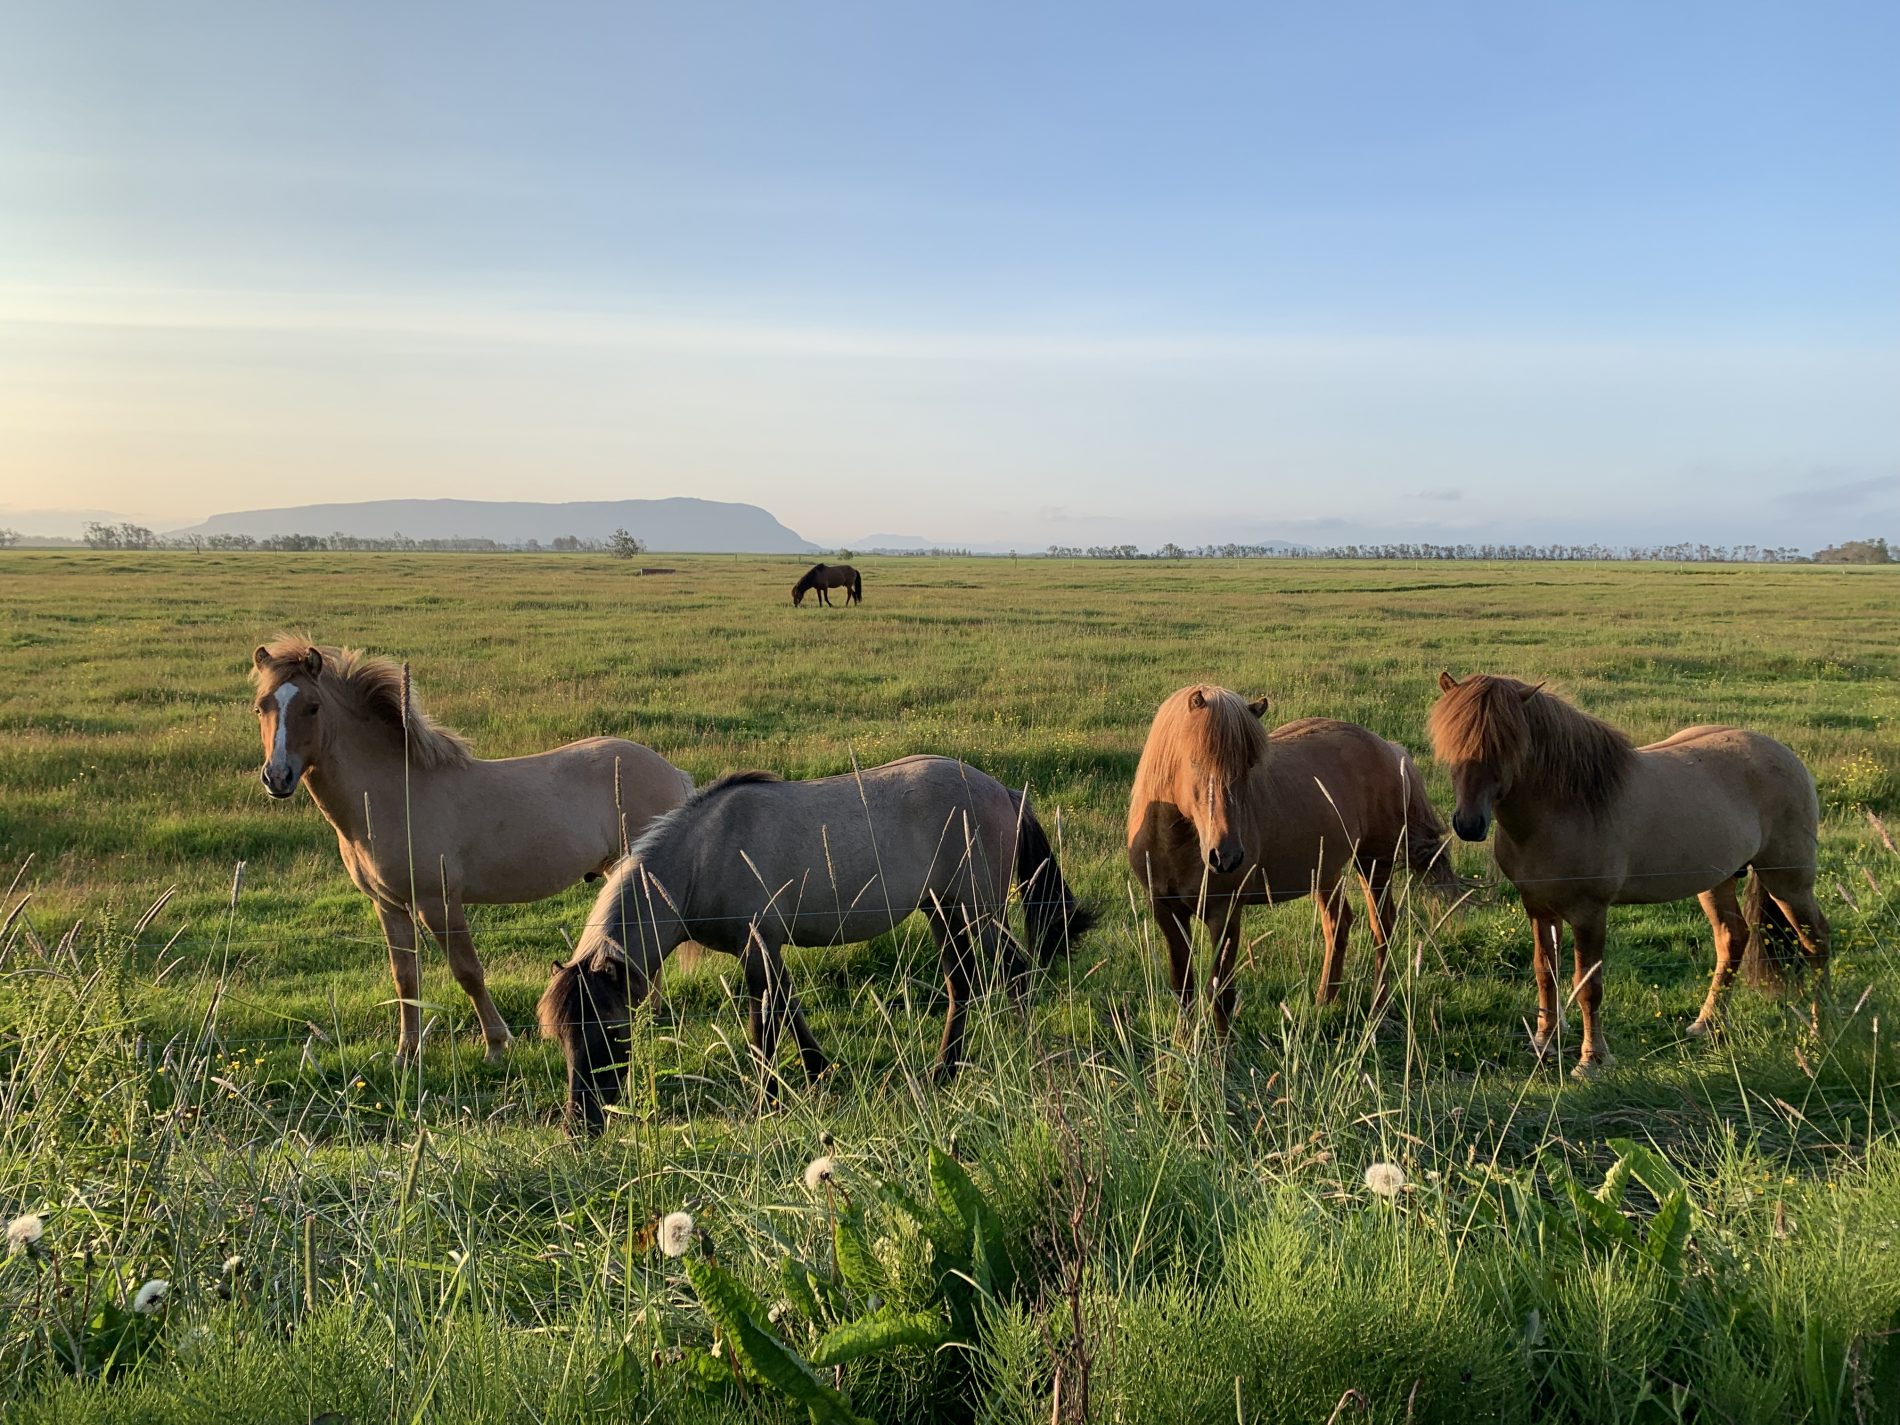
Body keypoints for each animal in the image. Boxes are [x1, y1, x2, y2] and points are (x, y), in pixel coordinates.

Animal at [250, 639, 692, 1063]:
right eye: (260, 707)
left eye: (313, 707)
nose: (278, 777)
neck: (394, 794)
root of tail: (671, 771)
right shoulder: (389, 906)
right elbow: (405, 979)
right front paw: (405, 1055)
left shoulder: (438, 903)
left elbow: (468, 972)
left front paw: (495, 1045)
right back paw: (645, 1014)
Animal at [538, 755, 1093, 1132]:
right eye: (563, 1037)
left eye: (611, 1032)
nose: (579, 1124)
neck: (703, 855)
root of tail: (1002, 790)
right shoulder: (761, 950)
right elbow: (783, 1010)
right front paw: (815, 1075)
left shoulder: (758, 946)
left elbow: (766, 1022)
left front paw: (771, 1098)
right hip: (944, 910)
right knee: (963, 984)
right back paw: (942, 1073)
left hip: (979, 911)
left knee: (1016, 974)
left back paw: (1024, 1061)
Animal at [1127, 684, 1459, 1038]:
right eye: (1195, 761)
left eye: (1249, 767)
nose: (1227, 856)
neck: (1177, 842)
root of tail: (1390, 749)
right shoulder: (1166, 910)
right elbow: (1183, 984)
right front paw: (1181, 1044)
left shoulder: (1224, 911)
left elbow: (1221, 990)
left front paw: (1219, 1048)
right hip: (1326, 870)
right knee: (1338, 923)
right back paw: (1324, 1001)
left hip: (1373, 863)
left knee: (1381, 926)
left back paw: (1377, 1011)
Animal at [1428, 672, 1829, 1078]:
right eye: (1451, 742)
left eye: (1507, 743)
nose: (1469, 824)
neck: (1567, 807)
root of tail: (1785, 755)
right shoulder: (1538, 907)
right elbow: (1545, 973)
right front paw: (1543, 1043)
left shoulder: (1589, 912)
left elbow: (1587, 986)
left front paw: (1592, 1061)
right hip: (1718, 881)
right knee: (1733, 938)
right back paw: (1707, 1024)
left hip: (1788, 881)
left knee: (1817, 942)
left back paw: (1819, 1032)